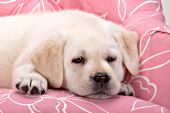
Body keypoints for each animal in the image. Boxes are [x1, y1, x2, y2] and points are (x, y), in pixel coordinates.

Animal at [0, 10, 139, 99]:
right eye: (78, 59)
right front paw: (32, 79)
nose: (101, 77)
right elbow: (26, 66)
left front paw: (122, 86)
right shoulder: (26, 56)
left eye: (111, 58)